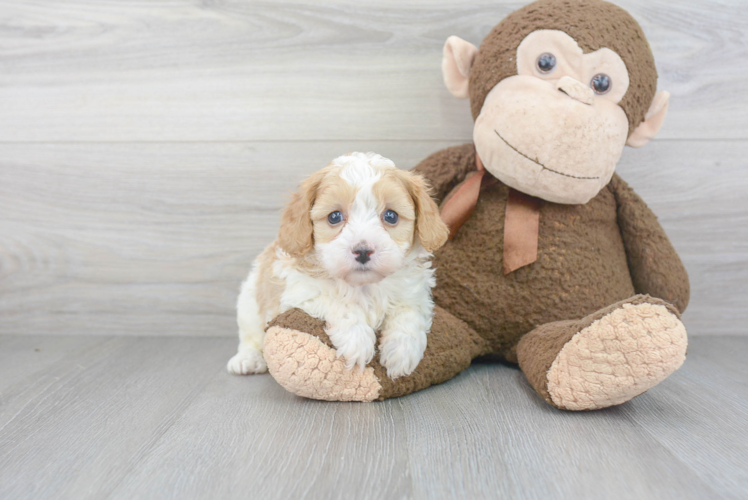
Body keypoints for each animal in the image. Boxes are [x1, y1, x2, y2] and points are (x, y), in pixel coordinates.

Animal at [228, 152, 448, 378]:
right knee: (250, 337)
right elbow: (341, 304)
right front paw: (358, 342)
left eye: (391, 215)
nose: (362, 251)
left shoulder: (415, 294)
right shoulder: (301, 291)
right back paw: (247, 359)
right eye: (334, 216)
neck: (364, 286)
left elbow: (408, 314)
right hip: (249, 303)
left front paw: (402, 353)